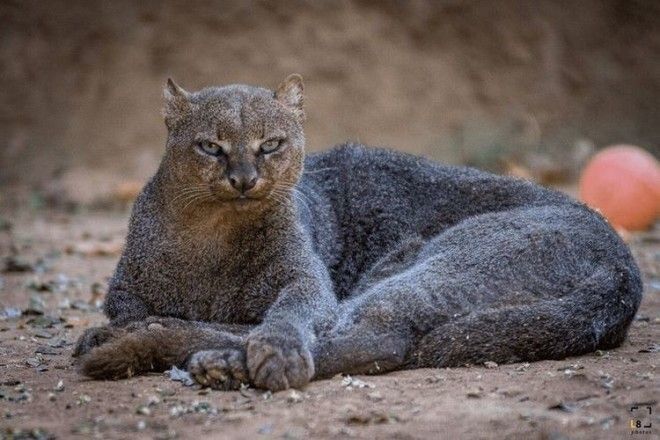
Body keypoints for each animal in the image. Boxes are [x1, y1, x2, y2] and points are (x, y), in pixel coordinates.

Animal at [75, 74, 640, 390]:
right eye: (211, 147)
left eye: (271, 144)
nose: (244, 178)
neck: (211, 234)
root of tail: (625, 267)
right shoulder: (123, 290)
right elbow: (138, 307)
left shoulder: (306, 278)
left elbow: (289, 316)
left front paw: (268, 347)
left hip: (447, 261)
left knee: (374, 337)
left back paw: (209, 359)